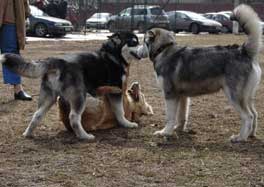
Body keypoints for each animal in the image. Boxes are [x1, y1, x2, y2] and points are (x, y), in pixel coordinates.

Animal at [0, 32, 140, 140]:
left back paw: (27, 134)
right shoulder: (116, 91)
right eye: (134, 42)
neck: (114, 55)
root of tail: (58, 61)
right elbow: (120, 111)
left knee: (37, 115)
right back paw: (84, 136)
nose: (144, 49)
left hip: (49, 98)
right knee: (74, 118)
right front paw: (127, 124)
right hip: (79, 97)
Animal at [134, 4, 262, 142]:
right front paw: (178, 129)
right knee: (254, 114)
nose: (136, 51)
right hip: (247, 97)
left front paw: (165, 132)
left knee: (248, 116)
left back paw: (240, 137)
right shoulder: (182, 96)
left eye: (143, 42)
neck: (164, 49)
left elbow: (170, 117)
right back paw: (250, 134)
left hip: (234, 96)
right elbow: (181, 116)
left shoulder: (170, 95)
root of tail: (243, 51)